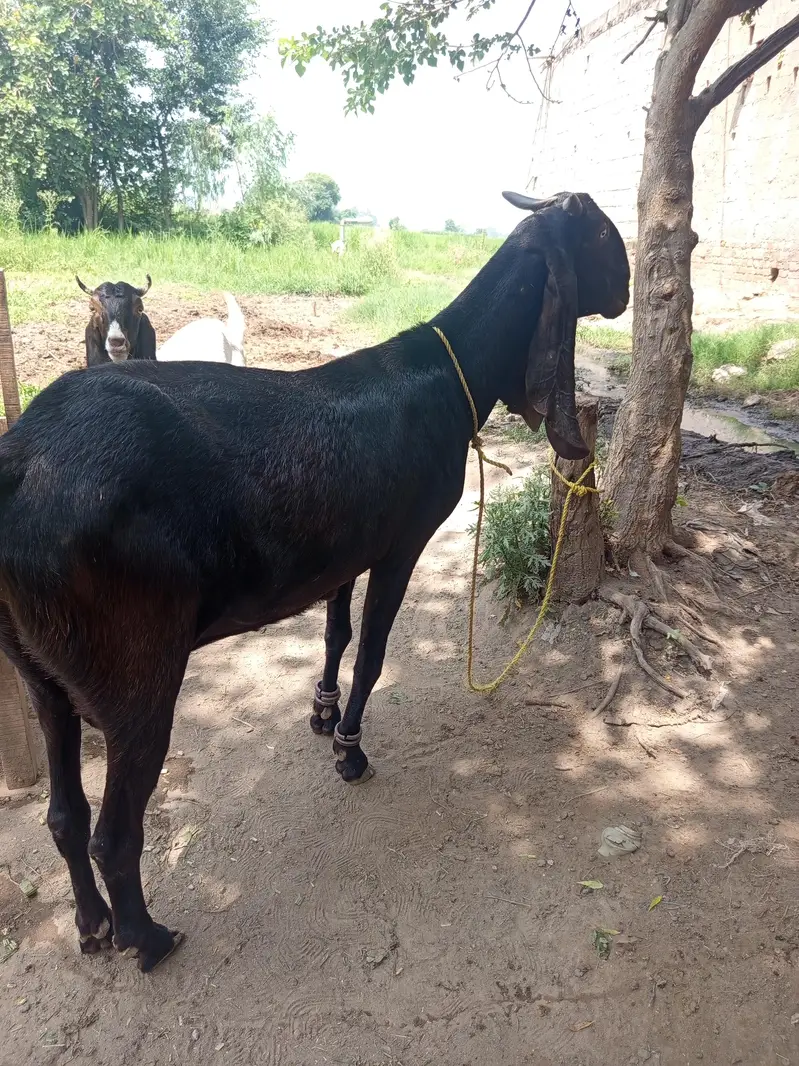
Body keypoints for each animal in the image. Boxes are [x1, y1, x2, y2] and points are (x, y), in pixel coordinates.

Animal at [0, 191, 629, 973]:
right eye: (600, 232)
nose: (626, 288)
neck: (447, 374)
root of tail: (19, 461)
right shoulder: (402, 542)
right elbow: (374, 650)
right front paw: (350, 750)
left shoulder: (345, 548)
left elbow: (336, 629)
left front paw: (322, 713)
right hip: (131, 669)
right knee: (112, 833)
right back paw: (147, 939)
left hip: (38, 670)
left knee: (63, 814)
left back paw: (90, 926)